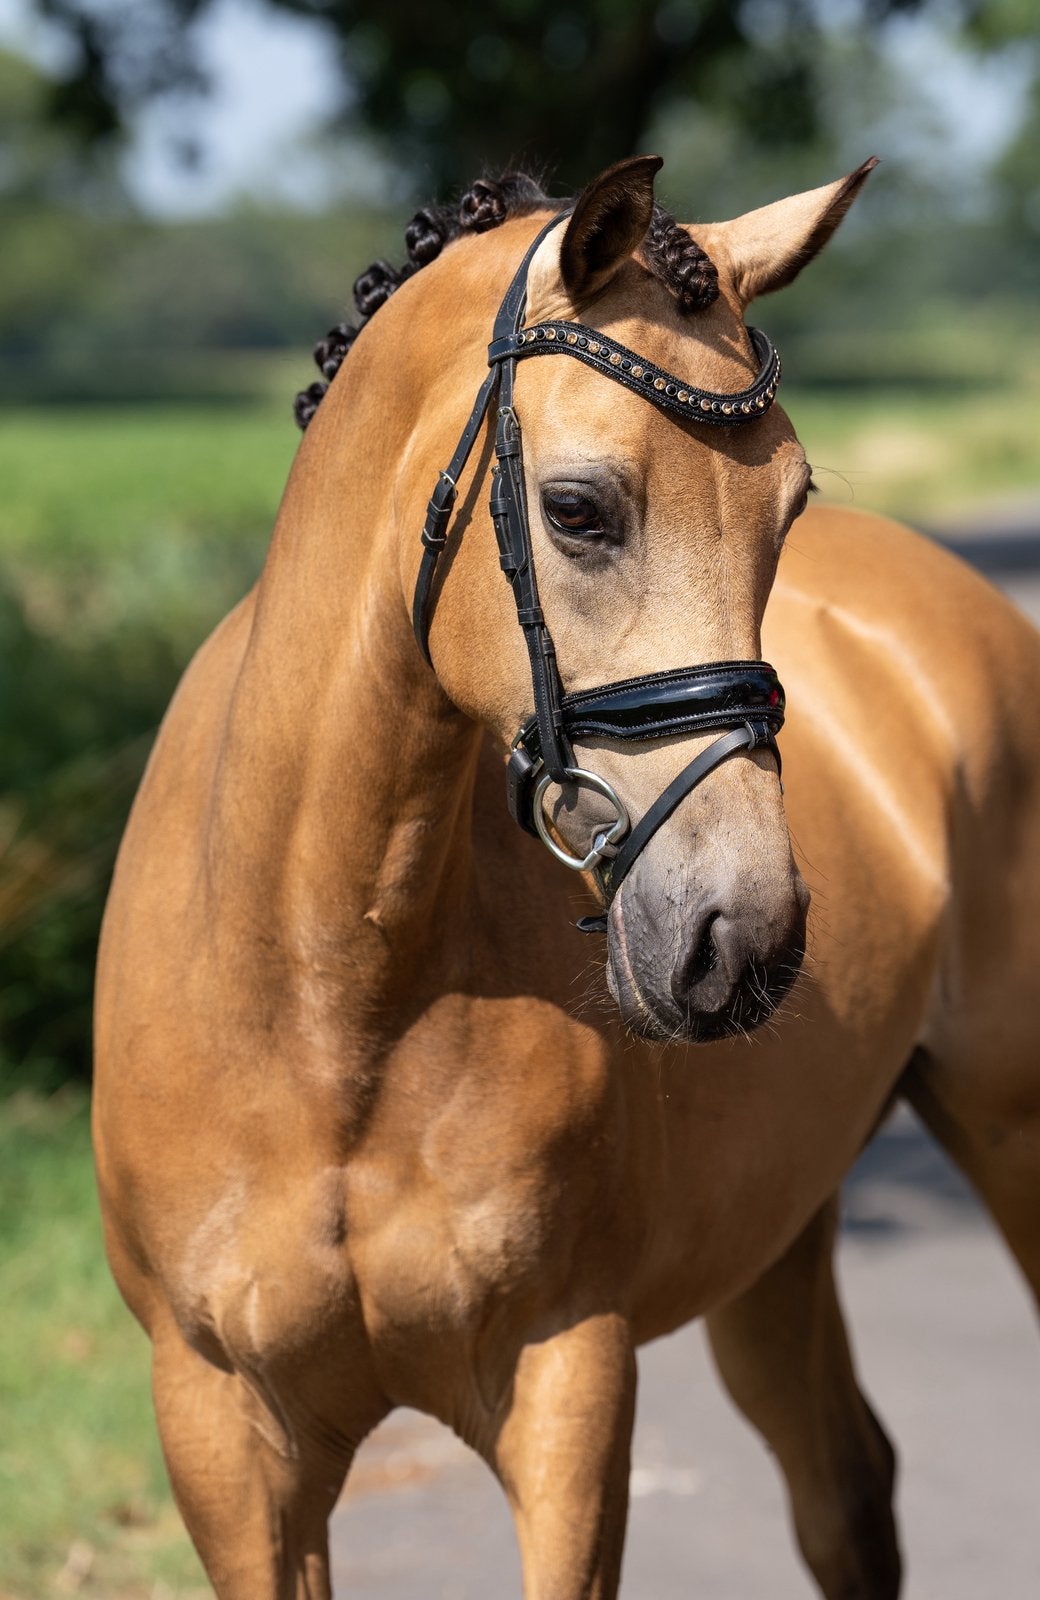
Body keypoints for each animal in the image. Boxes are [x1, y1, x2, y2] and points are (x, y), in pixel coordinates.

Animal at [93, 155, 1040, 1600]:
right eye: (579, 510)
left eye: (789, 509)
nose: (740, 937)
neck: (323, 993)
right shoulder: (225, 1435)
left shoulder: (564, 1382)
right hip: (778, 1236)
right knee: (845, 1487)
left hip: (1008, 1132)